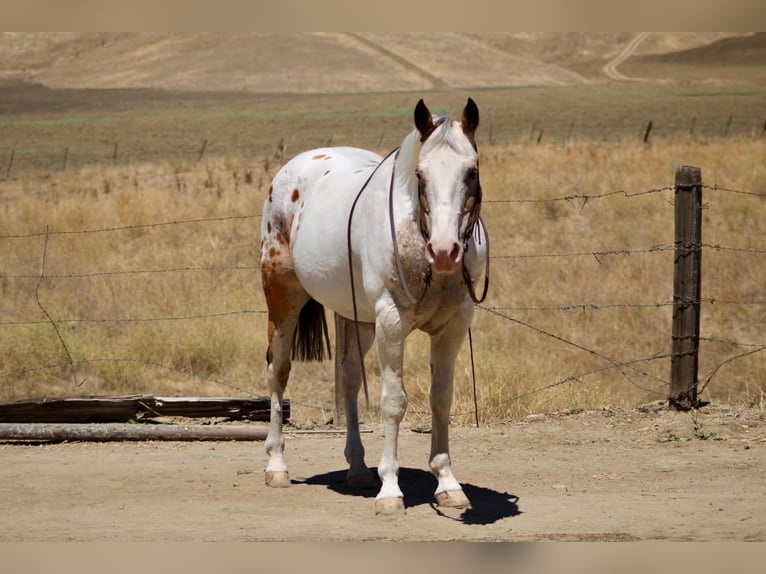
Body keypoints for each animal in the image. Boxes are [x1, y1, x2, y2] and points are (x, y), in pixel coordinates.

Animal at [259, 98, 489, 515]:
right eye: (420, 174)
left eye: (472, 171)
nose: (445, 250)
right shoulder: (391, 323)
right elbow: (393, 402)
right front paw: (391, 490)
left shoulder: (452, 325)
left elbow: (440, 398)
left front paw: (447, 483)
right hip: (283, 300)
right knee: (278, 372)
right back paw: (277, 466)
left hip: (356, 318)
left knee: (349, 378)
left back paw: (357, 468)